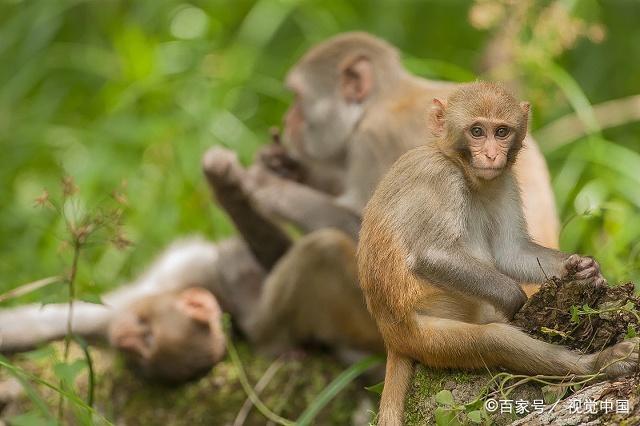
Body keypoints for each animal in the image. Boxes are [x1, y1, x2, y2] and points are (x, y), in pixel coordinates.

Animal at [358, 81, 636, 424]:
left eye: (501, 132)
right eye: (477, 131)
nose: (492, 155)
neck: (460, 166)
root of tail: (390, 336)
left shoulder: (504, 180)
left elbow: (510, 252)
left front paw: (585, 269)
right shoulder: (438, 176)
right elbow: (432, 255)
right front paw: (514, 299)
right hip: (425, 338)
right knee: (494, 339)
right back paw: (599, 364)